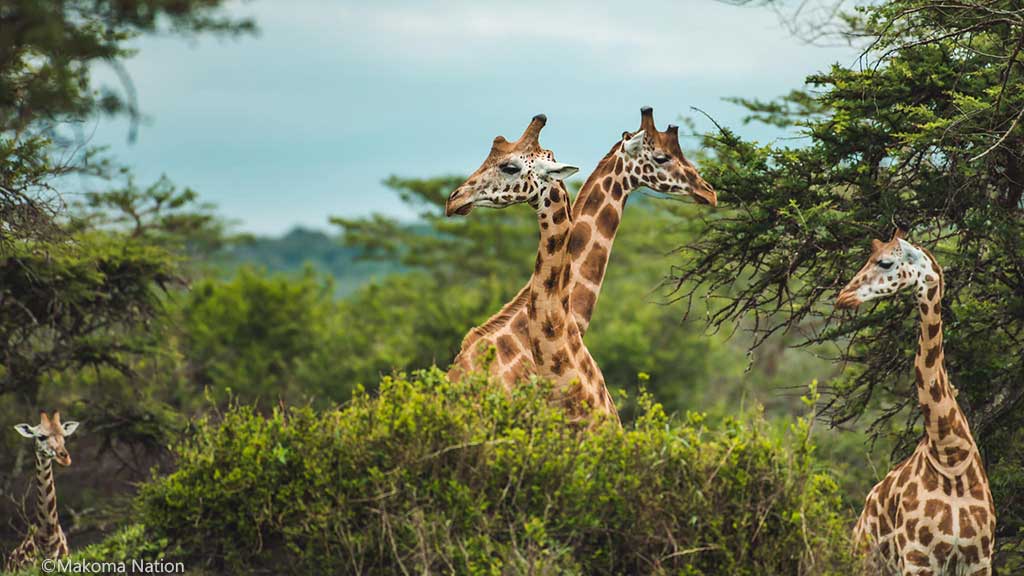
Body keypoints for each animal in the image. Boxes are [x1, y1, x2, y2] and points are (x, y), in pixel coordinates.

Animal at [835, 230, 995, 569]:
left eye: (885, 262)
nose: (843, 296)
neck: (950, 456)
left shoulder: (979, 558)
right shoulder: (917, 557)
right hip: (867, 561)